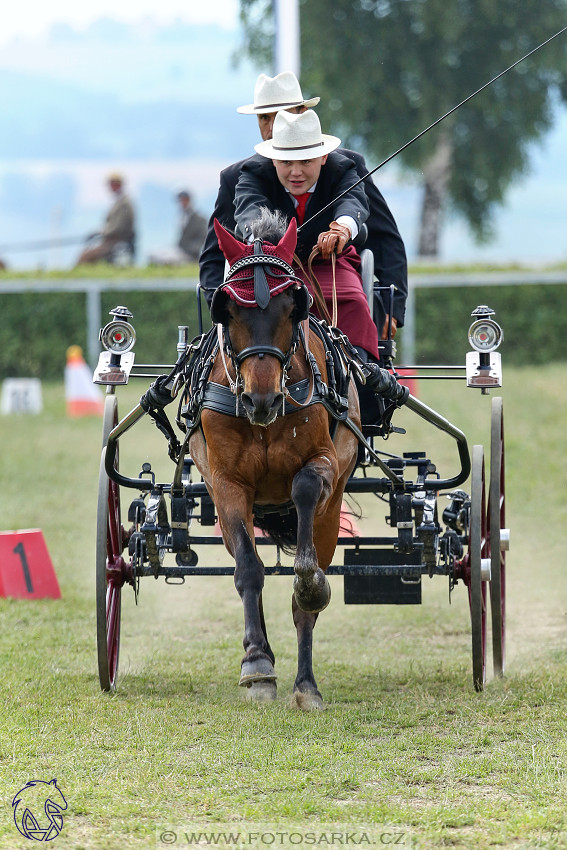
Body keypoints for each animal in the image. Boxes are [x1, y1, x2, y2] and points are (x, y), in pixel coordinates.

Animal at [189, 212, 362, 708]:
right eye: (228, 309)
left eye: (291, 308)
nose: (260, 399)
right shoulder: (226, 482)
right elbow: (249, 571)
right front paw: (256, 665)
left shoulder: (328, 461)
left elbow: (304, 490)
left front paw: (310, 584)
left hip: (331, 511)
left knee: (308, 594)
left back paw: (306, 683)